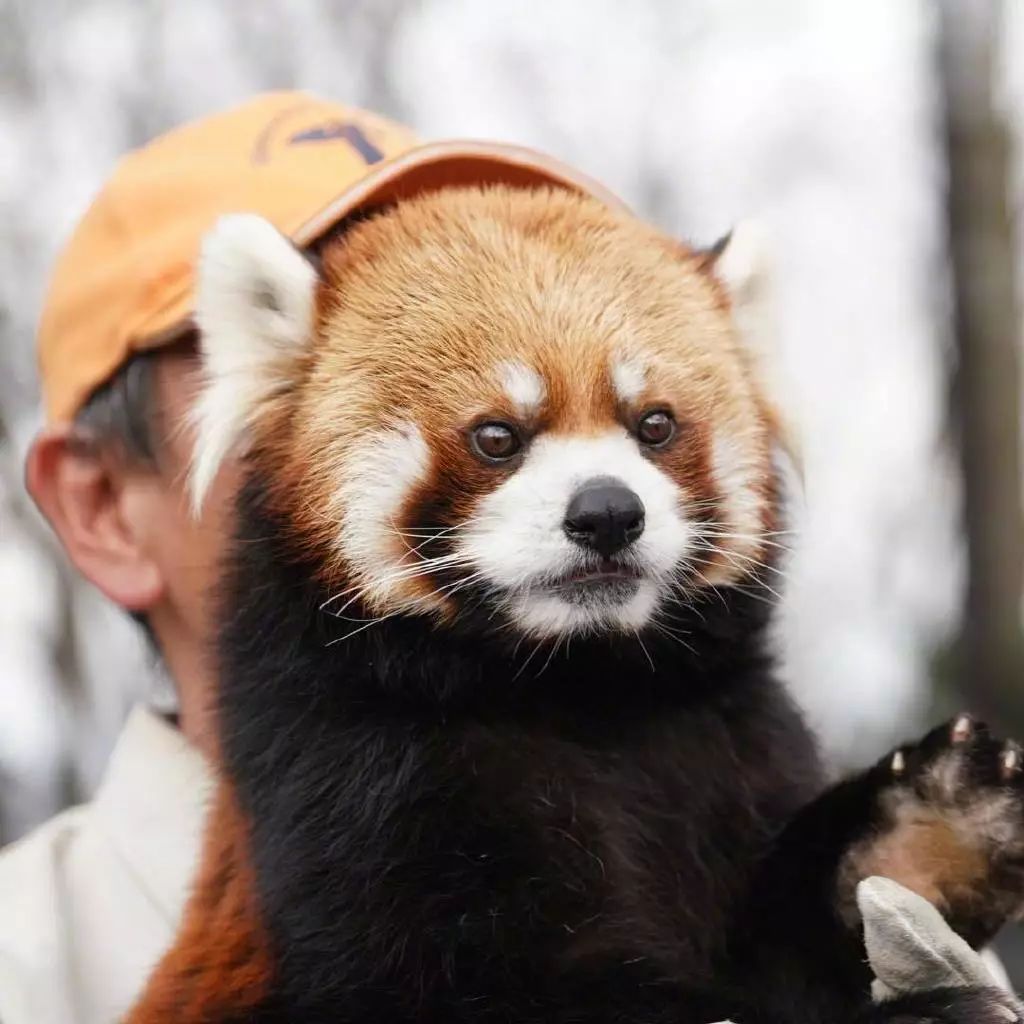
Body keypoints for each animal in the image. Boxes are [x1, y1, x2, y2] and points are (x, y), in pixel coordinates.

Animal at [125, 184, 1024, 1024]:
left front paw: (931, 825)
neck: (578, 686)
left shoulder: (729, 734)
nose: (607, 513)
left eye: (654, 425)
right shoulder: (348, 771)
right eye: (497, 436)